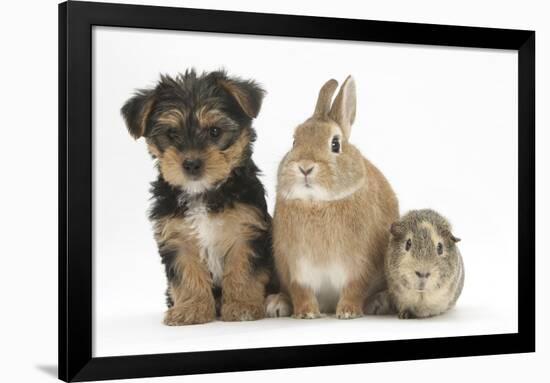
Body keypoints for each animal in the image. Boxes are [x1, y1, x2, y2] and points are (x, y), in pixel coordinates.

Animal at [122, 70, 274, 326]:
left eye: (214, 131)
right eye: (171, 134)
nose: (192, 163)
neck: (202, 192)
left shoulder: (246, 230)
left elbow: (242, 268)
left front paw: (242, 305)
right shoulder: (176, 237)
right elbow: (187, 274)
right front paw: (191, 309)